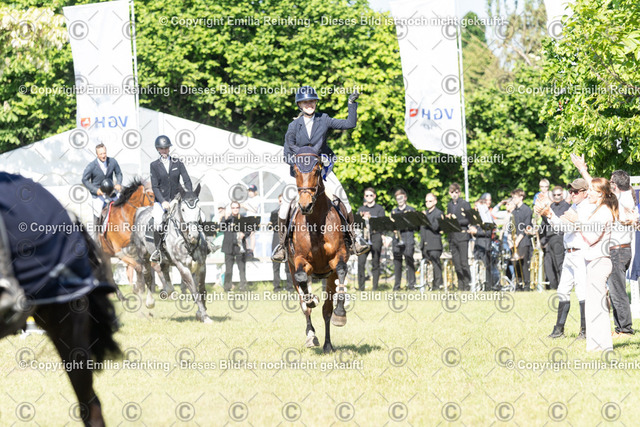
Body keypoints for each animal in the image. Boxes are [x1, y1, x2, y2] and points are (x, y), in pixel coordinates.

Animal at [131, 184, 212, 323]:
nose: (194, 236)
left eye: (199, 209)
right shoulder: (183, 267)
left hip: (165, 258)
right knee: (148, 275)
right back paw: (150, 302)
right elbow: (194, 291)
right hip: (143, 255)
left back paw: (168, 290)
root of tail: (141, 211)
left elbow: (202, 289)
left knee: (163, 268)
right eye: (183, 209)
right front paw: (205, 316)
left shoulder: (202, 265)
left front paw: (201, 313)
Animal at [286, 148, 350, 353]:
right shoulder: (300, 261)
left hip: (328, 276)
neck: (315, 220)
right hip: (291, 267)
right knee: (304, 305)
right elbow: (302, 284)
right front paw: (311, 299)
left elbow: (341, 270)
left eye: (316, 171)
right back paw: (311, 336)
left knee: (326, 310)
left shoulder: (338, 258)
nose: (305, 205)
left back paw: (328, 344)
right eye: (296, 171)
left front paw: (340, 314)